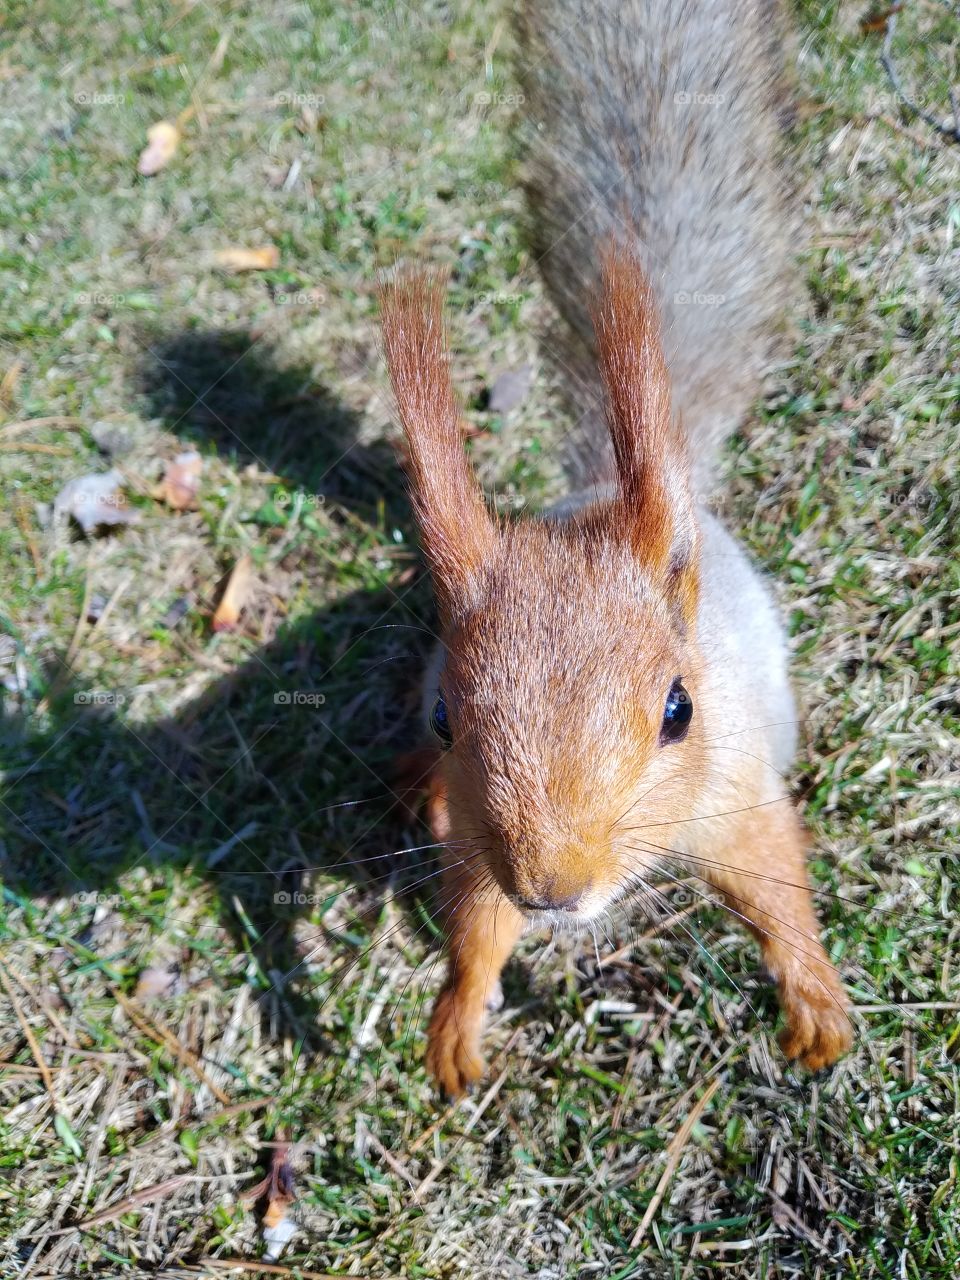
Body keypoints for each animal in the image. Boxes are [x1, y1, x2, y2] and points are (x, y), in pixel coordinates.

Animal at [379, 0, 853, 1097]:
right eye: (449, 712)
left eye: (679, 709)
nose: (556, 888)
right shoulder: (484, 842)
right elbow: (477, 920)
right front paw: (456, 1019)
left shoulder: (733, 787)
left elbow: (776, 881)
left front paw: (815, 1004)